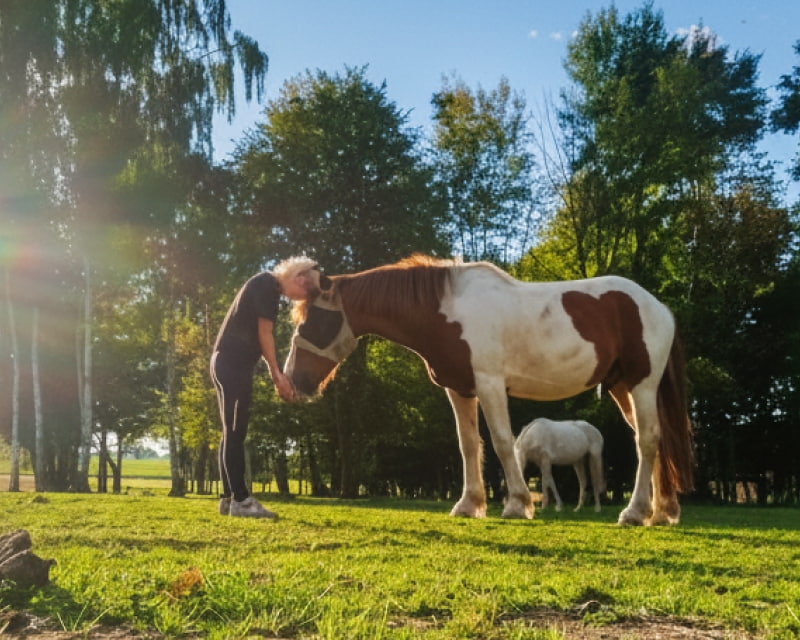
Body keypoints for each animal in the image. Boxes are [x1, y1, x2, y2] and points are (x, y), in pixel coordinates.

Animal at [284, 255, 694, 526]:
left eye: (312, 321)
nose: (292, 379)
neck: (446, 310)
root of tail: (660, 307)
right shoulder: (460, 389)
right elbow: (468, 445)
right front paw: (469, 504)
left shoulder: (490, 383)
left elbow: (500, 441)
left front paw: (517, 504)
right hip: (623, 388)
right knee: (654, 440)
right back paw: (662, 512)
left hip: (642, 384)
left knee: (647, 440)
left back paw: (635, 512)